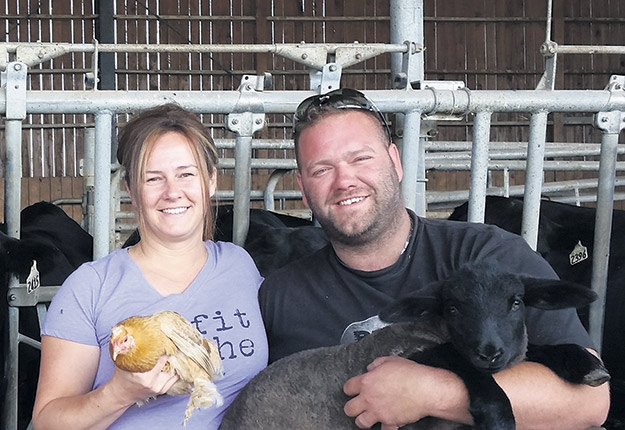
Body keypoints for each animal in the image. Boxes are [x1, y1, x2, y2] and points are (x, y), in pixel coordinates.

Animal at [218, 266, 604, 430]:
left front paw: (584, 364)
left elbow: (535, 347)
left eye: (517, 302)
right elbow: (453, 359)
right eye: (452, 308)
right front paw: (498, 415)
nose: (489, 351)